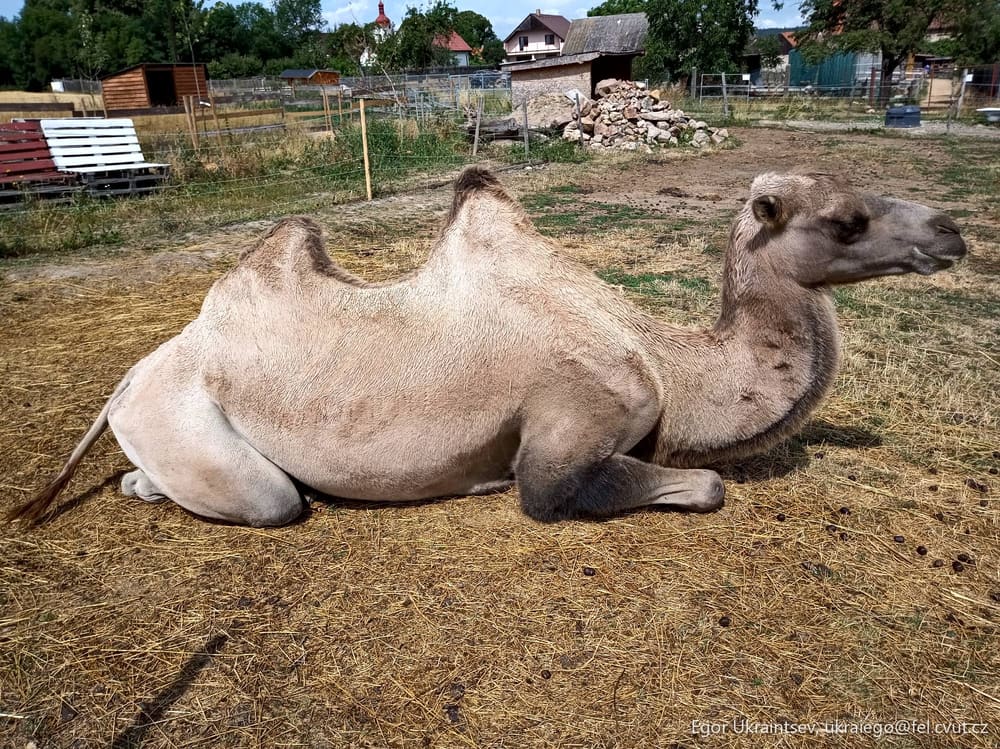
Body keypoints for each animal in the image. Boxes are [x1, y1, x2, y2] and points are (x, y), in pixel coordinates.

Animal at [9, 167, 966, 527]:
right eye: (847, 220)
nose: (953, 232)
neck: (665, 361)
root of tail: (135, 370)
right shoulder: (573, 423)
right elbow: (696, 484)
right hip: (192, 424)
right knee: (268, 497)